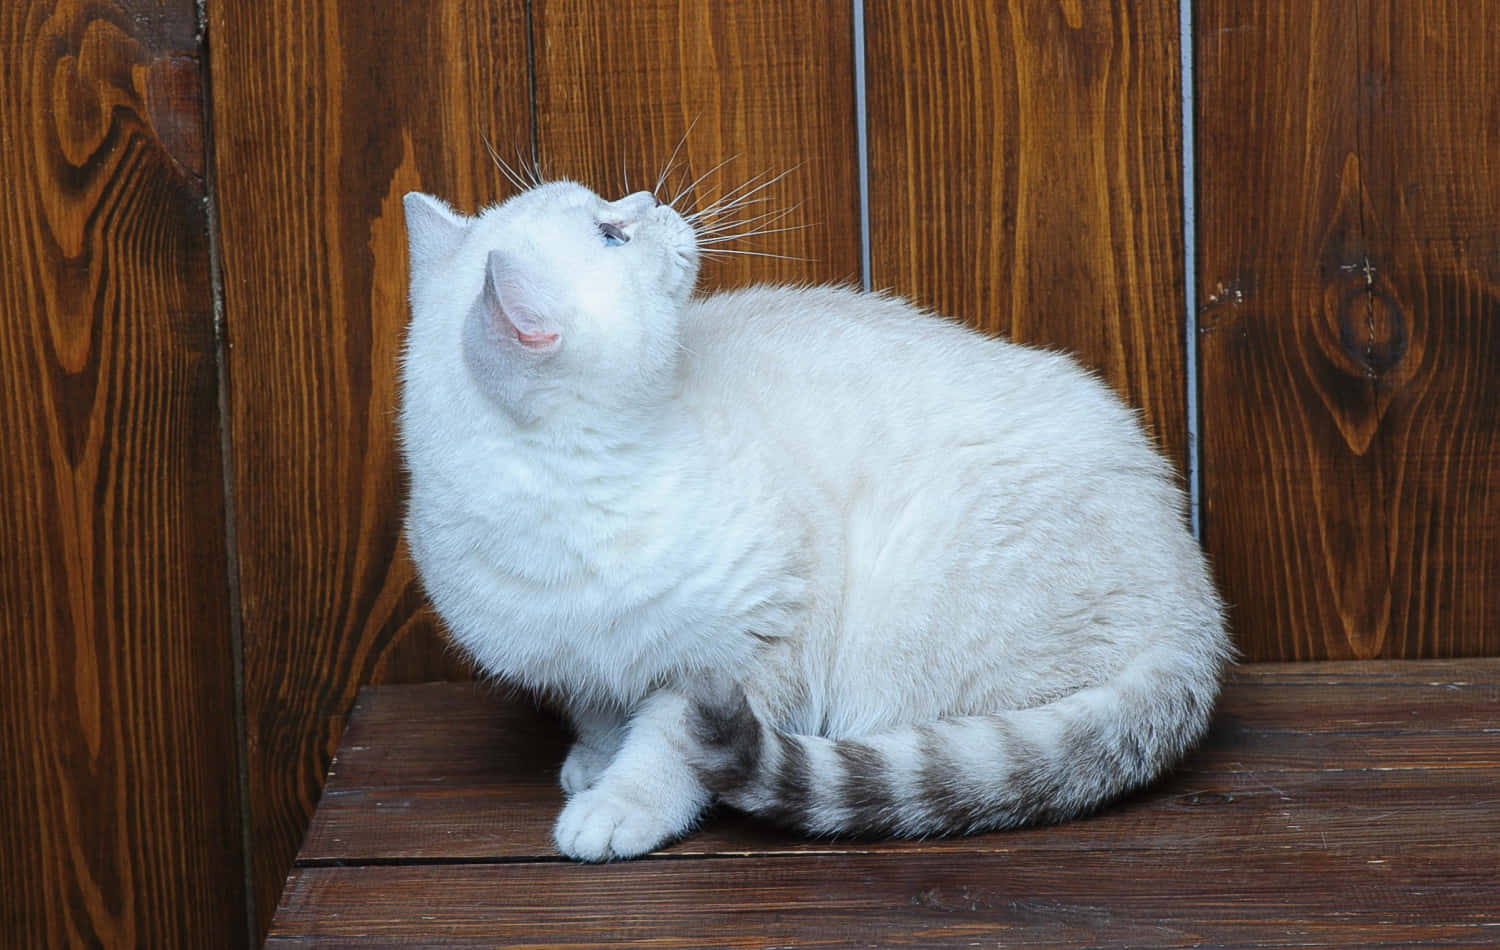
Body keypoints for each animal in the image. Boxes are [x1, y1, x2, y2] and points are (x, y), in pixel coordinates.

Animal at [399, 170, 1230, 858]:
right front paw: (595, 763)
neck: (571, 514)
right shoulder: (576, 665)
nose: (650, 200)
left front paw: (620, 803)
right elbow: (601, 712)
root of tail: (1198, 614)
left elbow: (666, 749)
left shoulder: (751, 643)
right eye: (611, 234)